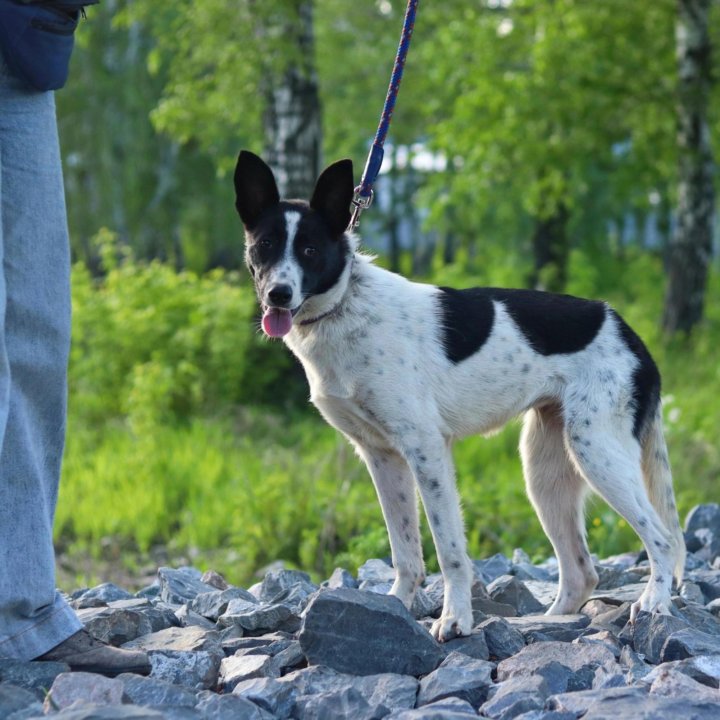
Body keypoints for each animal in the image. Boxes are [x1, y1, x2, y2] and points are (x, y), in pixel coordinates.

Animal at [235, 149, 688, 640]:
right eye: (265, 245)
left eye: (310, 250)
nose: (279, 295)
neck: (345, 307)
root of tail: (629, 333)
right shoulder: (382, 457)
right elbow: (405, 550)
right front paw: (396, 606)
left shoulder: (427, 450)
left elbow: (449, 550)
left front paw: (455, 619)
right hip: (545, 470)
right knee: (582, 570)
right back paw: (550, 621)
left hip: (597, 452)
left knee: (662, 538)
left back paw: (654, 603)